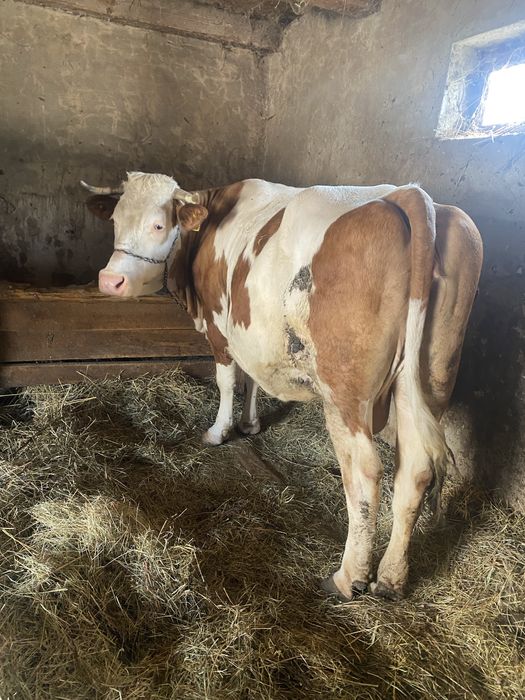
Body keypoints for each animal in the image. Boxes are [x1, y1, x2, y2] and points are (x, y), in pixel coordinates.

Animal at [82, 172, 483, 601]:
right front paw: (251, 424)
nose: (110, 281)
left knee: (365, 474)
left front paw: (218, 432)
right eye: (115, 220)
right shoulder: (253, 335)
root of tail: (410, 195)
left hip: (346, 394)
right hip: (430, 379)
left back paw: (348, 577)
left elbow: (228, 380)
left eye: (159, 225)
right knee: (415, 471)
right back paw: (391, 579)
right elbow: (254, 380)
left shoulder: (219, 325)